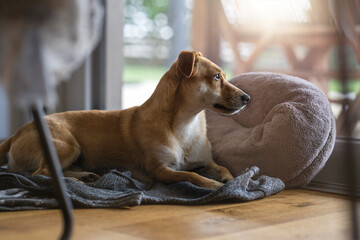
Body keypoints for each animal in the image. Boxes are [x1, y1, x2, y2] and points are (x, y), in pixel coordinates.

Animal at [0, 50, 250, 189]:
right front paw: (212, 184)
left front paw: (232, 180)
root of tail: (17, 133)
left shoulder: (208, 162)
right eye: (216, 77)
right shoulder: (161, 170)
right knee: (41, 172)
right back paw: (74, 181)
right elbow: (190, 175)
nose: (247, 98)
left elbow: (224, 168)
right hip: (67, 146)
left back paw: (84, 175)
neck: (187, 125)